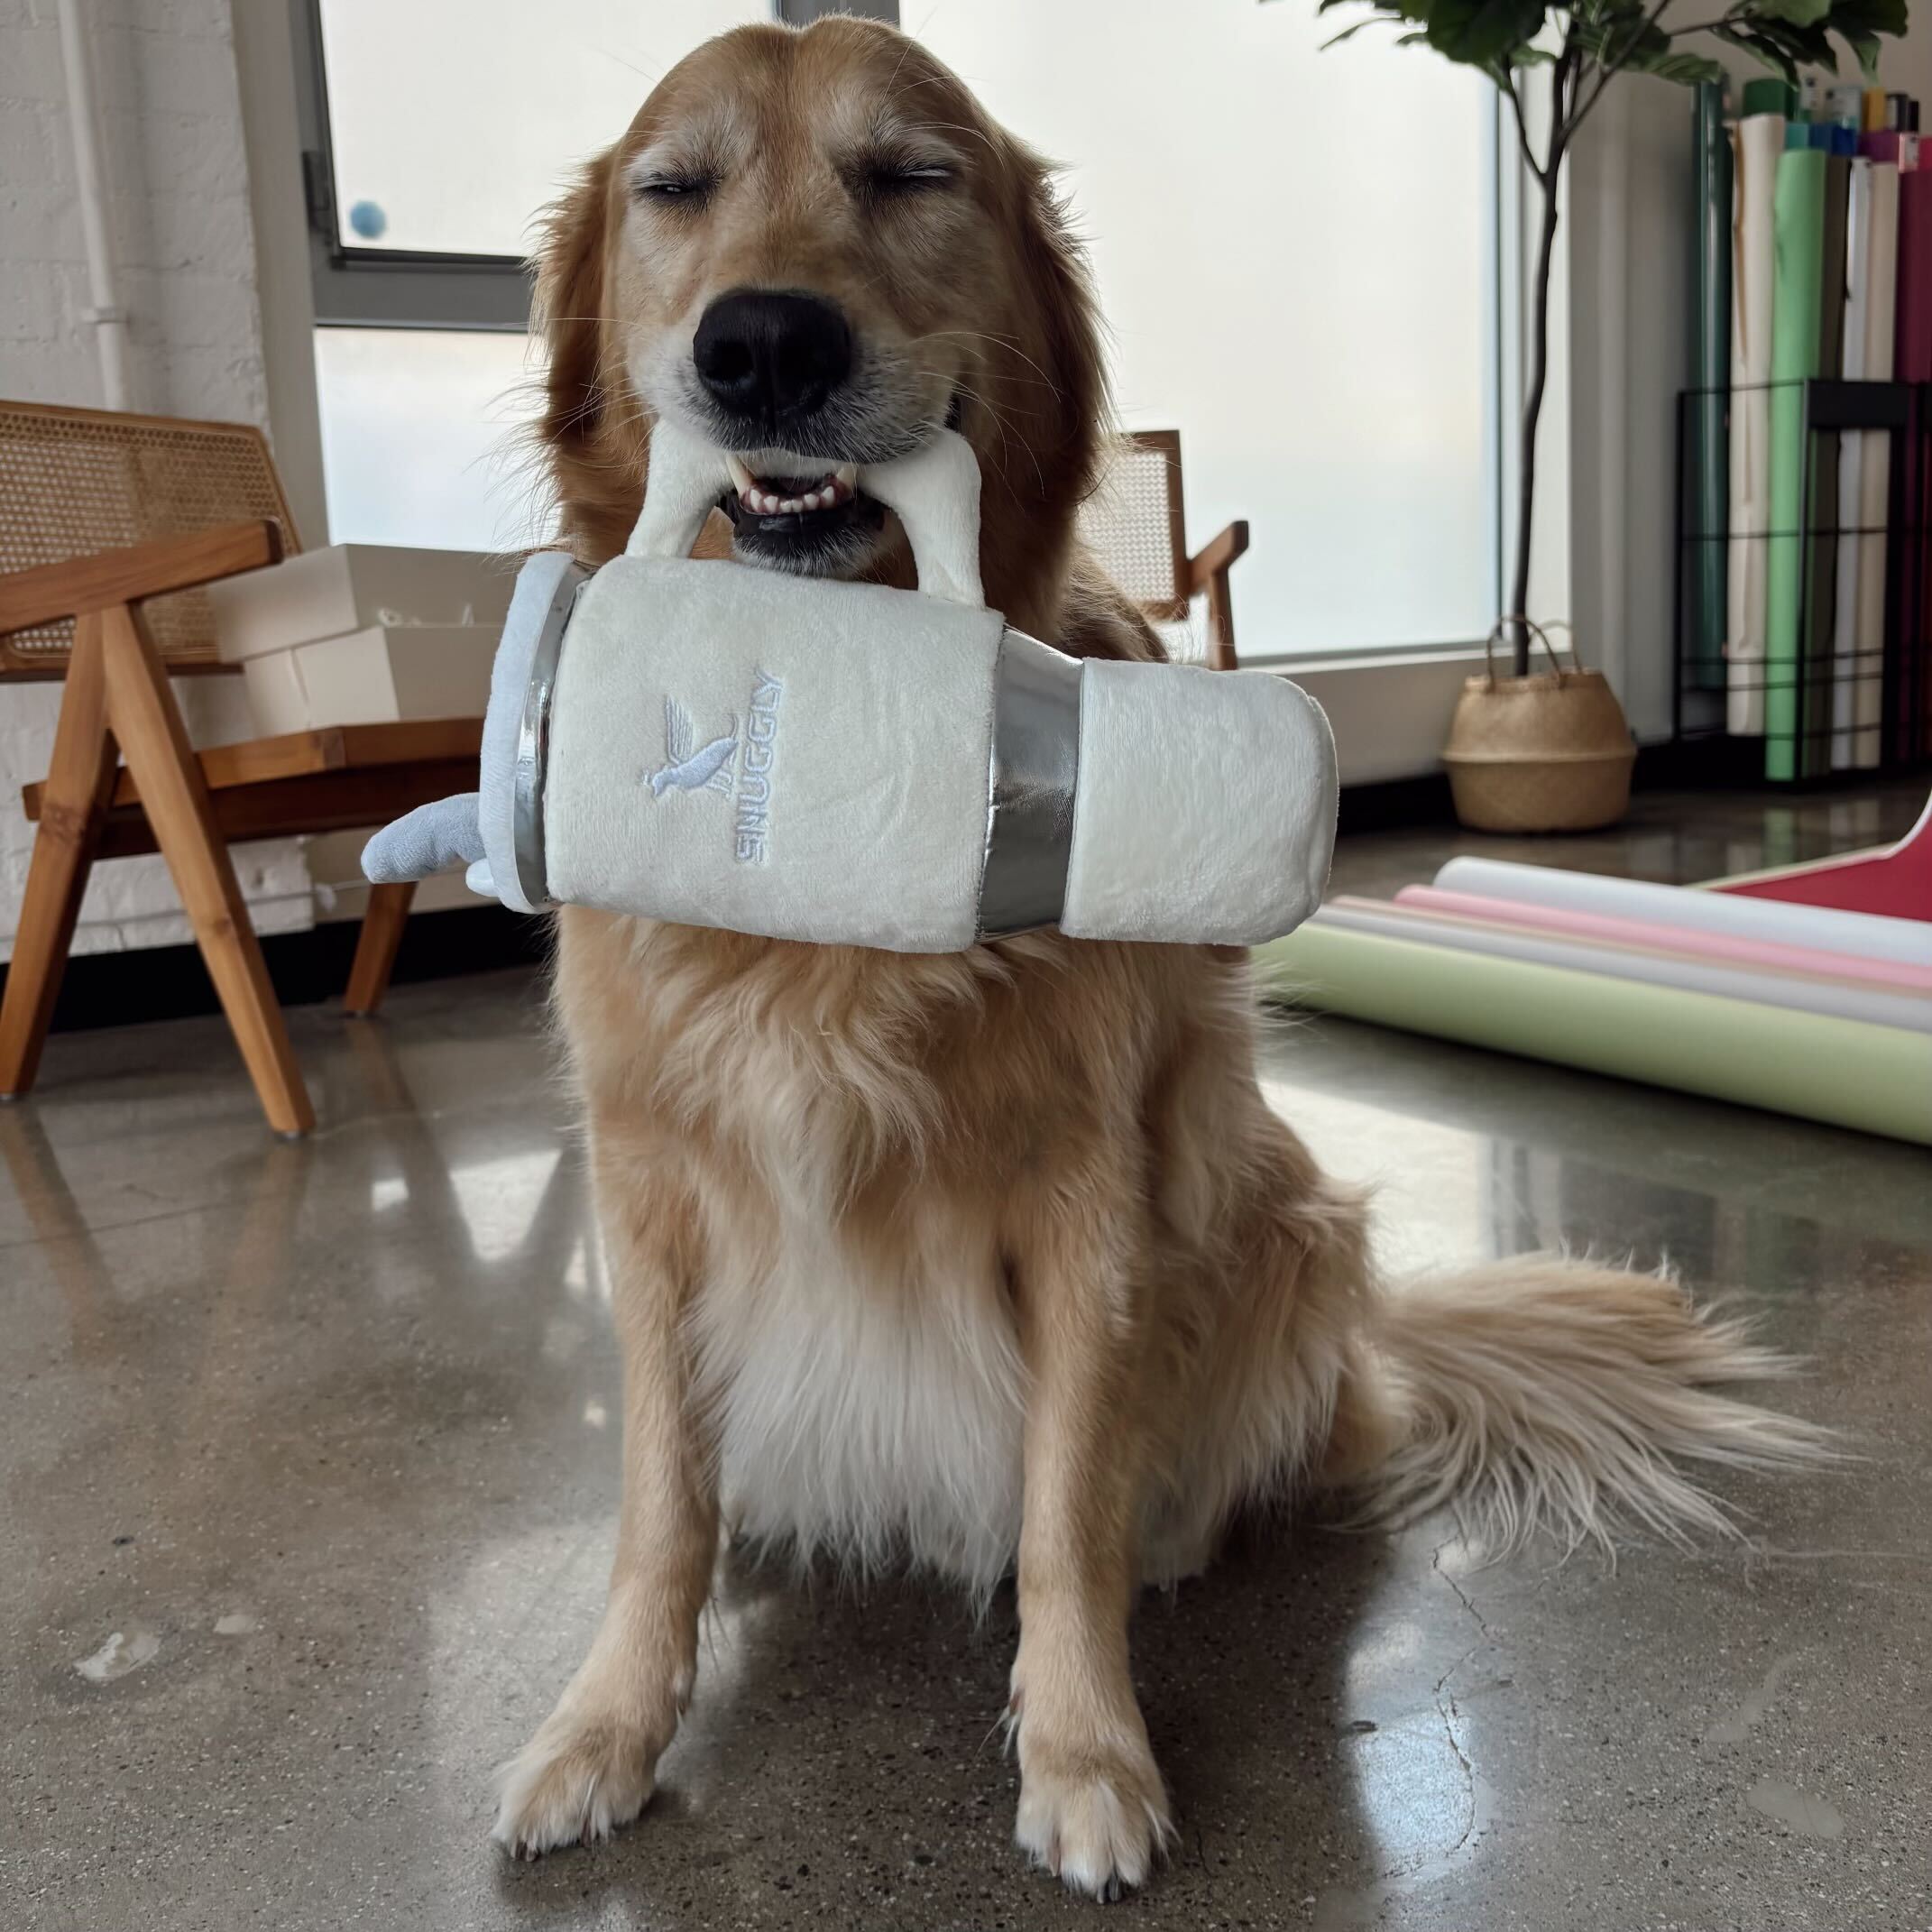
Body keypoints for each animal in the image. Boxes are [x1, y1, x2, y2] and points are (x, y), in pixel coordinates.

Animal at [491, 14, 1816, 1900]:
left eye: (912, 173)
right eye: (674, 187)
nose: (762, 344)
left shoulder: (1086, 1198)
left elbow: (1062, 1507)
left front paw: (1087, 1750)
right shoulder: (649, 1181)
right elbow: (661, 1499)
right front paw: (607, 1724)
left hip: (1294, 1225)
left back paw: (1173, 1538)